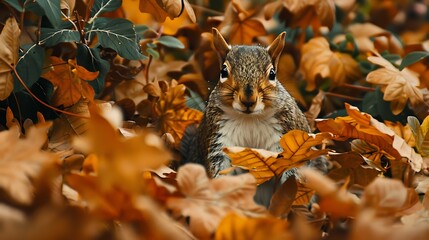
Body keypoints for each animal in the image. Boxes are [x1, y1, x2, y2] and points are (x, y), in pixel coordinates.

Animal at [181, 28, 320, 205]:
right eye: (223, 71)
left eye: (272, 74)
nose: (248, 100)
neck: (250, 119)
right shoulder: (219, 143)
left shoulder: (288, 136)